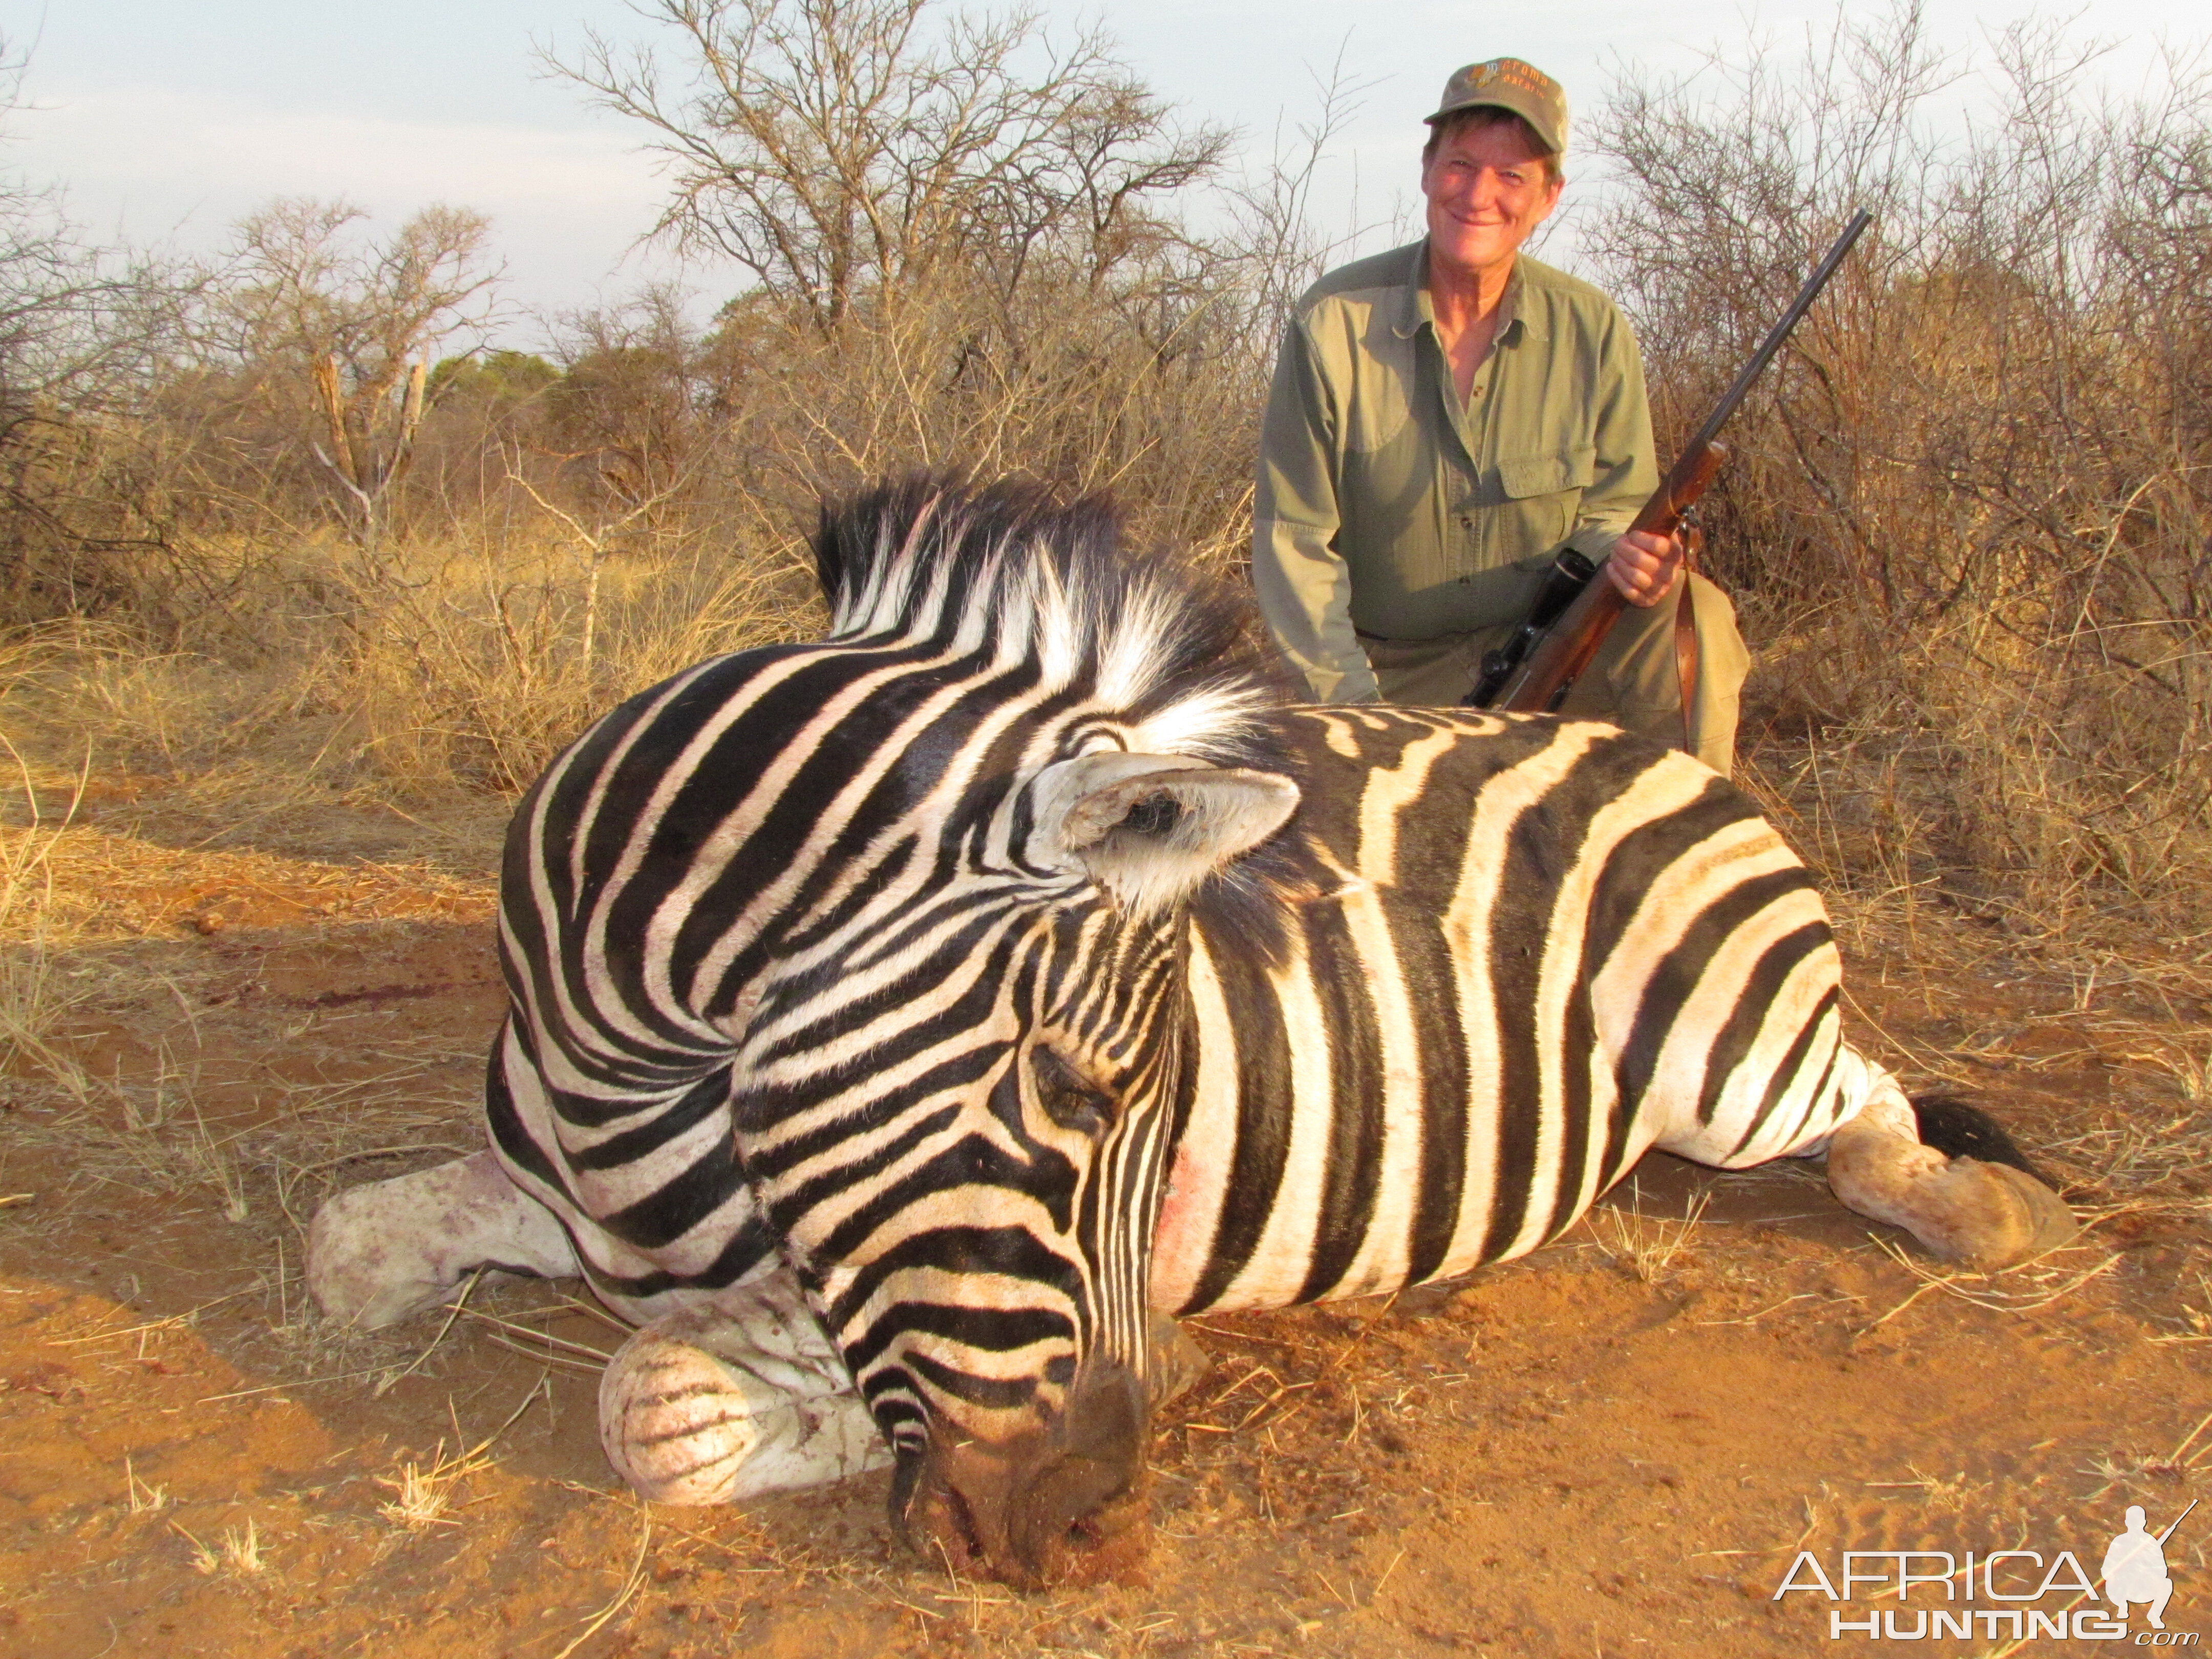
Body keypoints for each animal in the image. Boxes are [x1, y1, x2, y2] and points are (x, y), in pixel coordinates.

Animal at [307, 473, 2070, 1592]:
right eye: (1077, 1089)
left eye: (1135, 1098)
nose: (1091, 1533)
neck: (622, 1081)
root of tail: (1663, 754)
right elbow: (347, 1251)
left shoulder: (838, 1295)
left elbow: (660, 1411)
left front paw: (802, 1420)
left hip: (1732, 1069)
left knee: (1868, 1107)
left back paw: (1981, 1210)